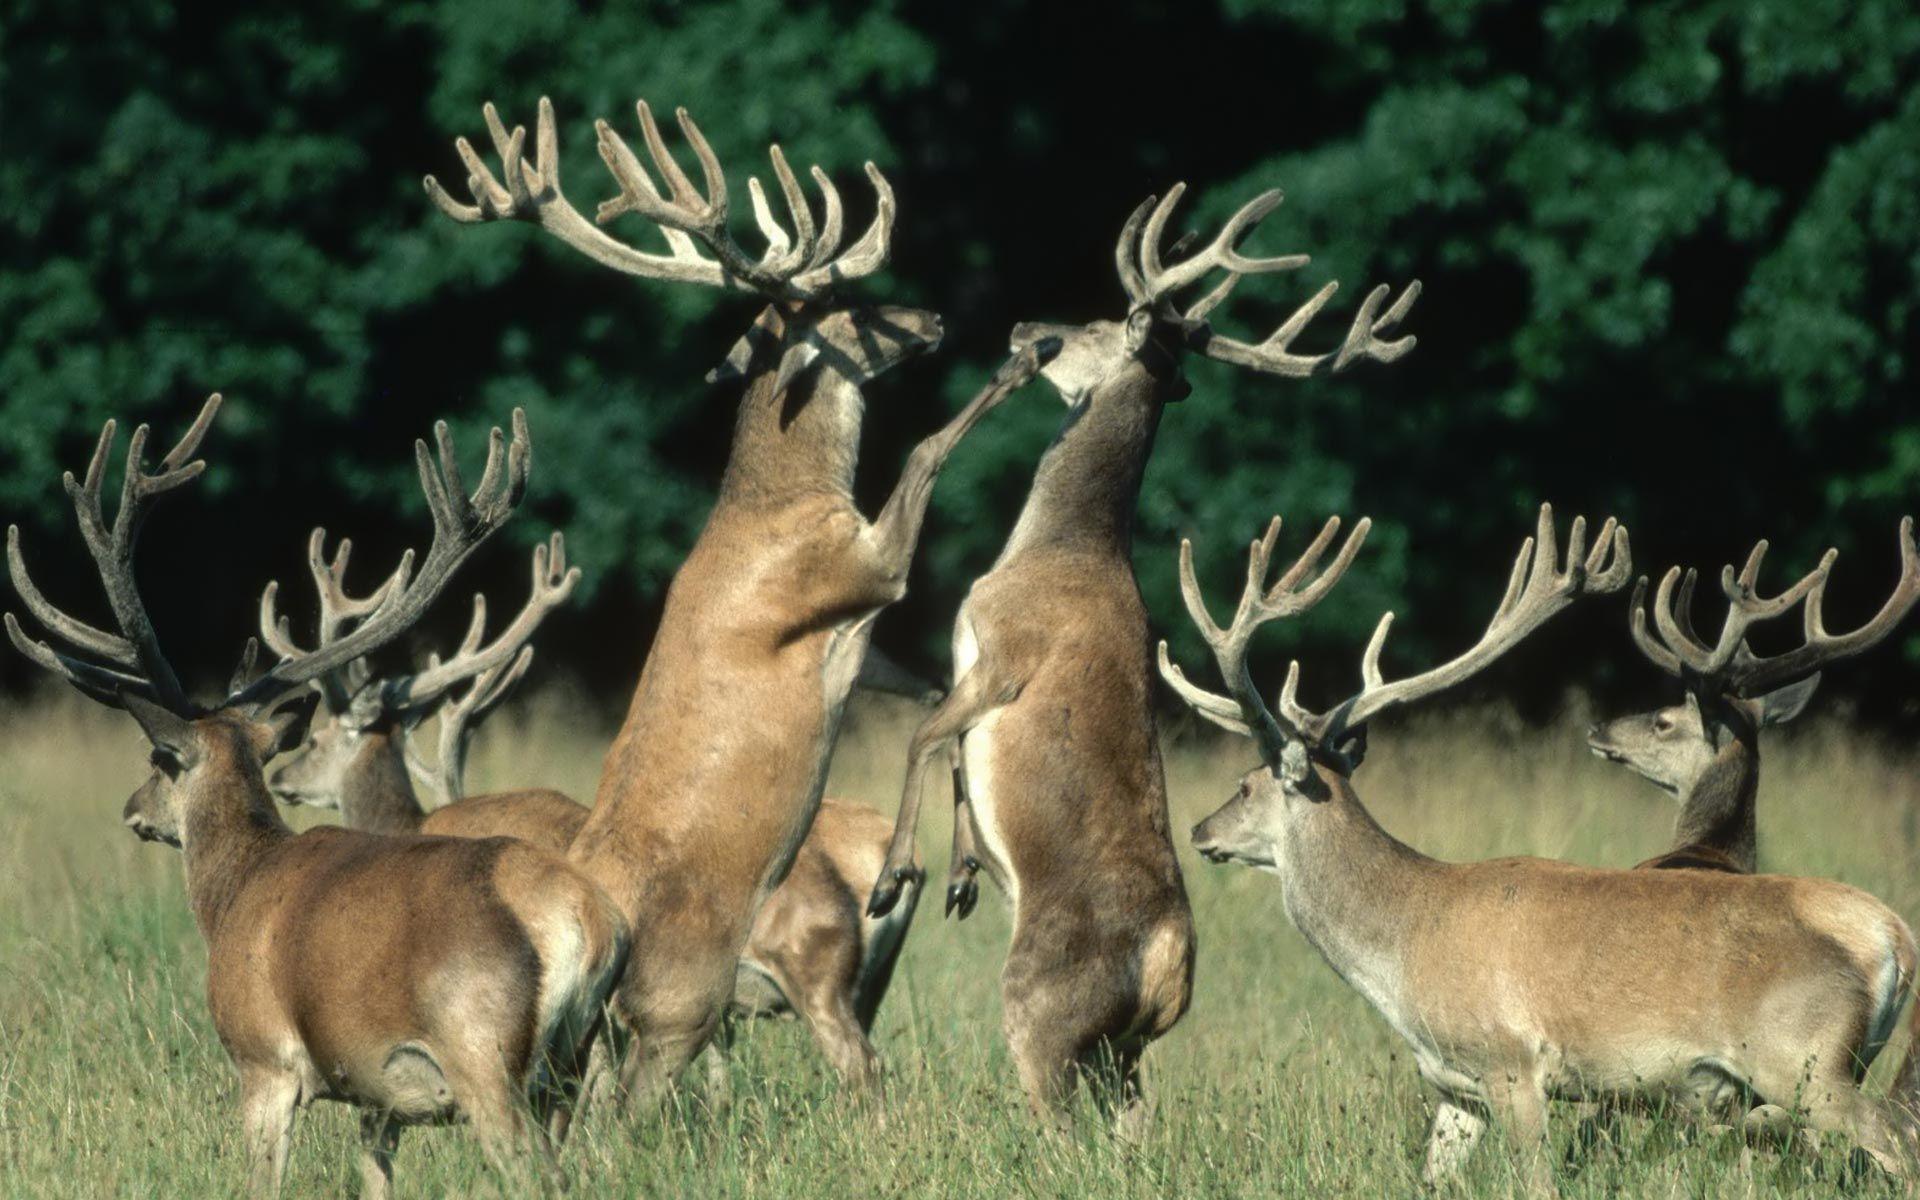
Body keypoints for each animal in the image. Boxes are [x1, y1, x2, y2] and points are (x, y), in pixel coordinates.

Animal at [3, 396, 631, 1199]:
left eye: (158, 758)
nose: (132, 809)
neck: (232, 894)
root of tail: (591, 922)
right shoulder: (376, 1093)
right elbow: (375, 1176)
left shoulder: (262, 1059)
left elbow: (261, 1178)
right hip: (571, 1065)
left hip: (485, 1053)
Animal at [264, 535, 925, 1087]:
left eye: (315, 738)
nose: (278, 777)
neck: (411, 823)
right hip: (867, 982)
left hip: (814, 974)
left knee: (862, 1066)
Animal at [427, 95, 1048, 1102]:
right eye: (843, 306)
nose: (933, 316)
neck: (782, 506)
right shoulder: (855, 572)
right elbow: (925, 451)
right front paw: (1024, 360)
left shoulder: (856, 639)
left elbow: (930, 696)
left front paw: (949, 869)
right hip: (685, 996)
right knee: (631, 1103)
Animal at [860, 184, 1418, 1131]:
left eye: (1097, 320)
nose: (1025, 324)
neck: (1056, 548)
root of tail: (1165, 967)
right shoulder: (973, 662)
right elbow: (950, 753)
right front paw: (962, 872)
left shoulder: (1003, 653)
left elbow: (924, 735)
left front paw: (899, 873)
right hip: (1121, 1058)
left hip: (1039, 1014)